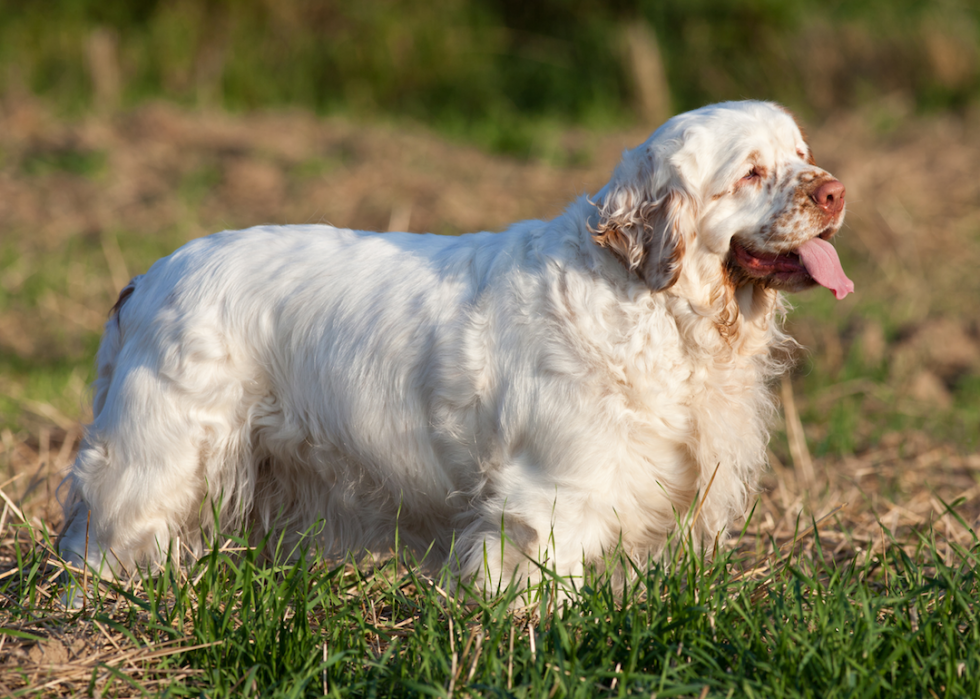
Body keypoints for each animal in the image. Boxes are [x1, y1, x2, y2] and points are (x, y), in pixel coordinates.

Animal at [59, 102, 848, 596]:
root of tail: (148, 277)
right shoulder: (549, 496)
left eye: (803, 156)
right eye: (751, 172)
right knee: (99, 541)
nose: (837, 191)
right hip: (158, 457)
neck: (656, 309)